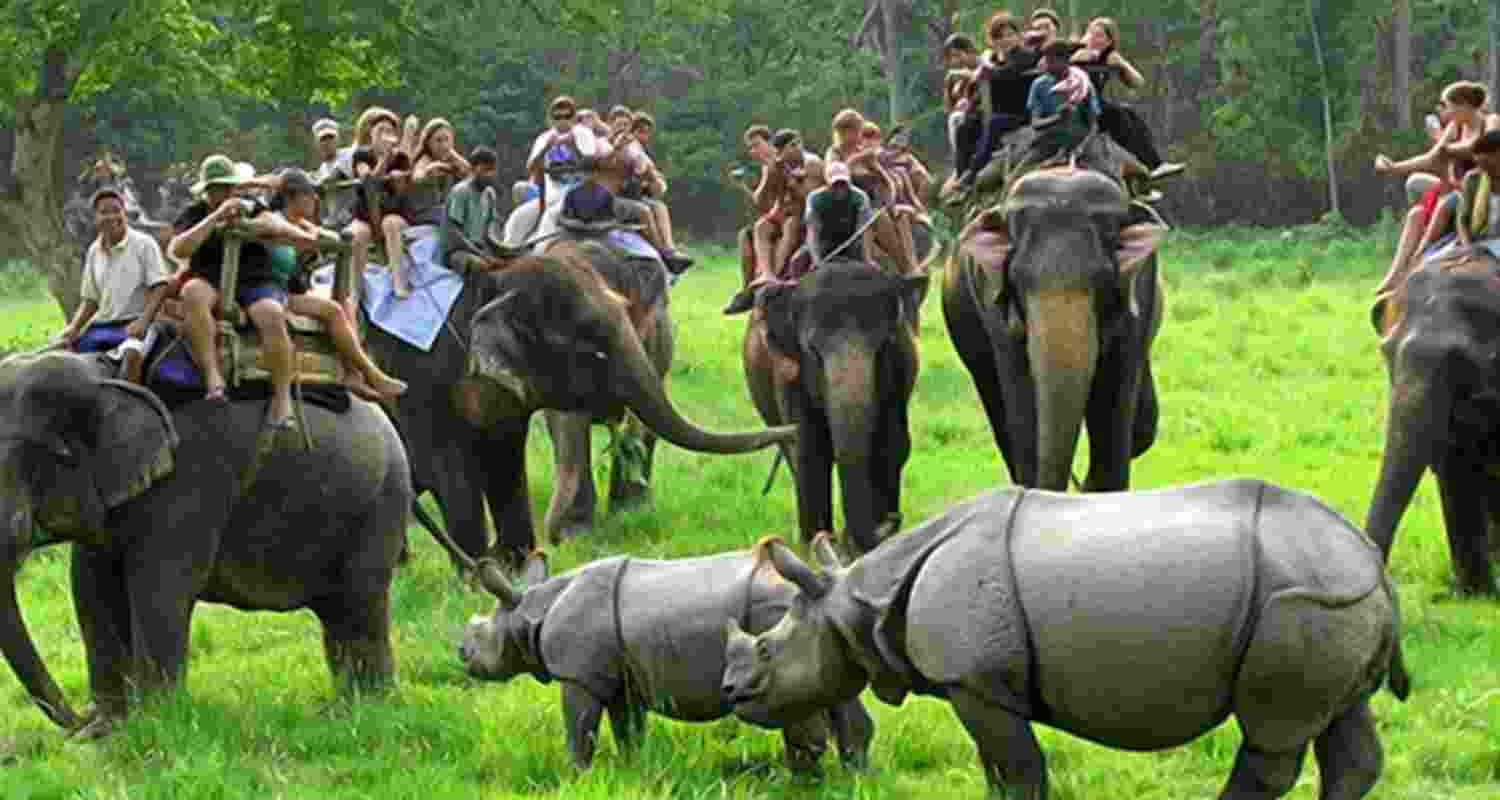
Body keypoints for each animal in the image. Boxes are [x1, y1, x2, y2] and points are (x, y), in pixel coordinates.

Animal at [0, 350, 412, 734]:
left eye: (41, 460)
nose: (80, 721)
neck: (109, 375)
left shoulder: (189, 482)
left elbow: (159, 589)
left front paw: (156, 724)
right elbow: (91, 588)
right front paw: (111, 729)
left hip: (381, 503)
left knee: (360, 604)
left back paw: (366, 708)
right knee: (339, 613)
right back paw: (346, 709)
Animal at [368, 236, 779, 568]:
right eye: (589, 345)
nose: (555, 539)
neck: (492, 278)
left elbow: (505, 461)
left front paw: (518, 567)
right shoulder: (418, 381)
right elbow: (449, 468)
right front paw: (481, 578)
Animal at [723, 479, 1410, 800]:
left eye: (768, 650)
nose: (733, 693)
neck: (855, 606)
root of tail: (1371, 561)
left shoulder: (973, 681)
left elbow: (1019, 769)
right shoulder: (980, 686)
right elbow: (999, 770)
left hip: (1296, 599)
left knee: (1272, 735)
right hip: (1333, 595)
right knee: (1344, 720)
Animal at [729, 260, 929, 555]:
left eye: (886, 344)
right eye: (812, 351)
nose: (893, 520)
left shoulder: (900, 372)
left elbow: (890, 444)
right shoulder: (789, 375)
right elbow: (810, 450)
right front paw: (817, 544)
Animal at [941, 139, 1168, 492]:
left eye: (1105, 277)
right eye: (1016, 277)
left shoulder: (1140, 283)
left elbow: (1116, 400)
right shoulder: (993, 302)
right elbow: (1021, 402)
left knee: (1144, 424)